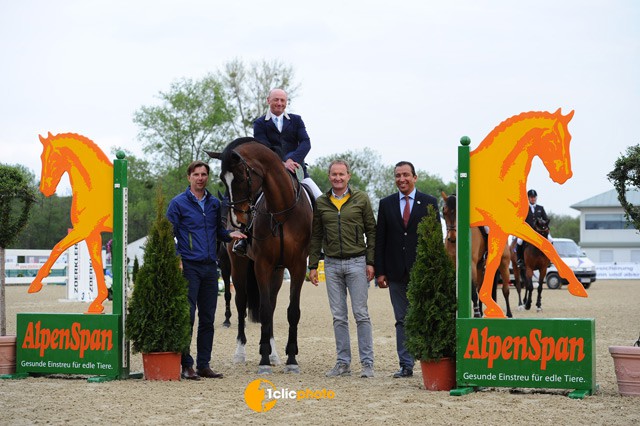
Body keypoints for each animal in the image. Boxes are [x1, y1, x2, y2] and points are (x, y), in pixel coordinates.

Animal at [29, 133, 113, 312]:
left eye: (53, 158)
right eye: (41, 157)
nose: (45, 189)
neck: (93, 186)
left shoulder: (82, 230)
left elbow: (57, 248)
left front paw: (35, 285)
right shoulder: (92, 234)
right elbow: (97, 265)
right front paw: (97, 303)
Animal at [206, 137, 314, 372]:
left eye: (240, 177)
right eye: (222, 179)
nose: (238, 221)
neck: (281, 211)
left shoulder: (297, 266)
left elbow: (292, 311)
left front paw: (291, 359)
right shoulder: (262, 265)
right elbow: (263, 311)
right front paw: (263, 359)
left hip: (278, 272)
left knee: (271, 305)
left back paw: (274, 354)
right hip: (238, 267)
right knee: (240, 304)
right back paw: (241, 352)